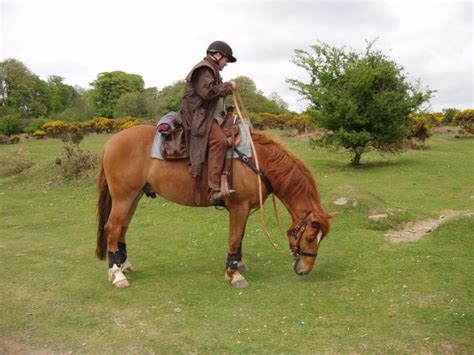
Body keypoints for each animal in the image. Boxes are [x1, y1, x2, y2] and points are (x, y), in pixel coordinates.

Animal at [95, 125, 334, 290]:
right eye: (310, 238)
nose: (305, 270)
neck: (257, 161)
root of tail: (110, 143)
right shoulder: (239, 206)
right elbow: (235, 238)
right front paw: (234, 274)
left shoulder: (242, 210)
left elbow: (240, 237)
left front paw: (238, 263)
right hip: (124, 197)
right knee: (112, 229)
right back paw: (117, 274)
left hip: (133, 196)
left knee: (122, 229)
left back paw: (124, 265)